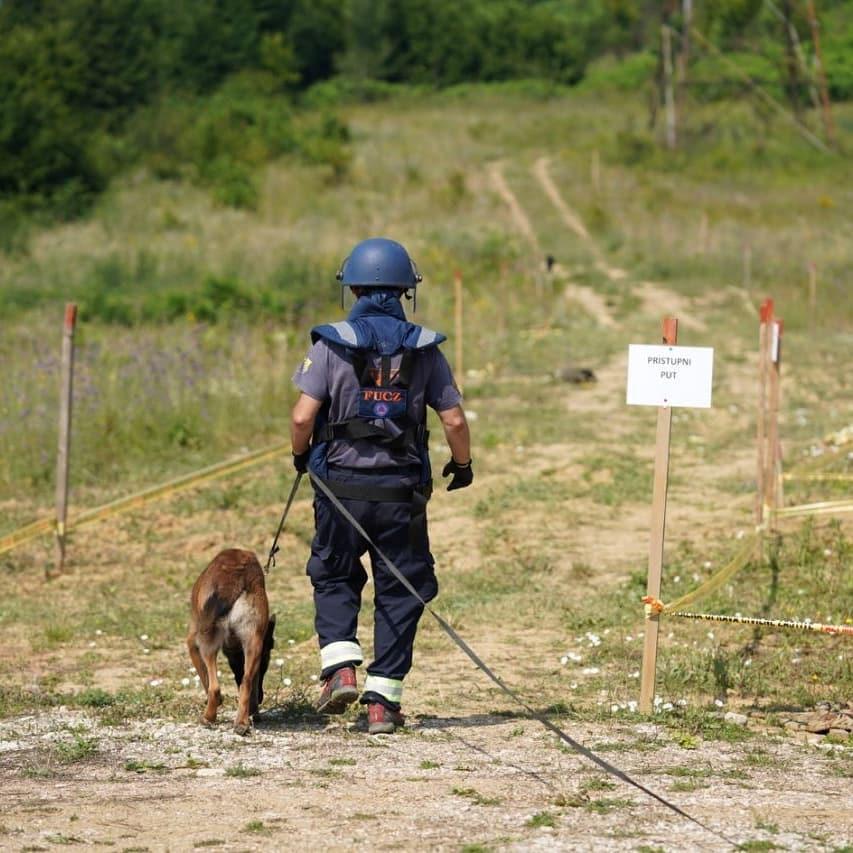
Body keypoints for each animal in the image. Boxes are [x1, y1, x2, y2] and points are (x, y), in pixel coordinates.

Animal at [186, 548, 276, 736]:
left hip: (207, 641)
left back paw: (208, 718)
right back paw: (241, 723)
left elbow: (205, 679)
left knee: (214, 688)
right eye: (265, 666)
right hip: (253, 643)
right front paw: (253, 712)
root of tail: (240, 575)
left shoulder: (192, 644)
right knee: (246, 682)